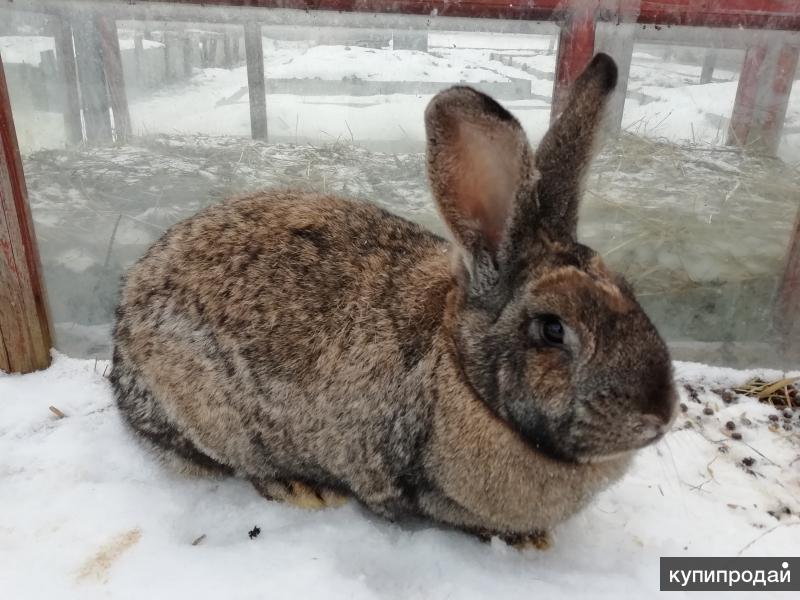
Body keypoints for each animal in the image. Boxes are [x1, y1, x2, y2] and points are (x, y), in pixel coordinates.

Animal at [111, 54, 676, 548]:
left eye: (630, 291)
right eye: (552, 329)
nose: (660, 415)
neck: (459, 372)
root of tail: (122, 342)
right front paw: (524, 541)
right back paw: (301, 487)